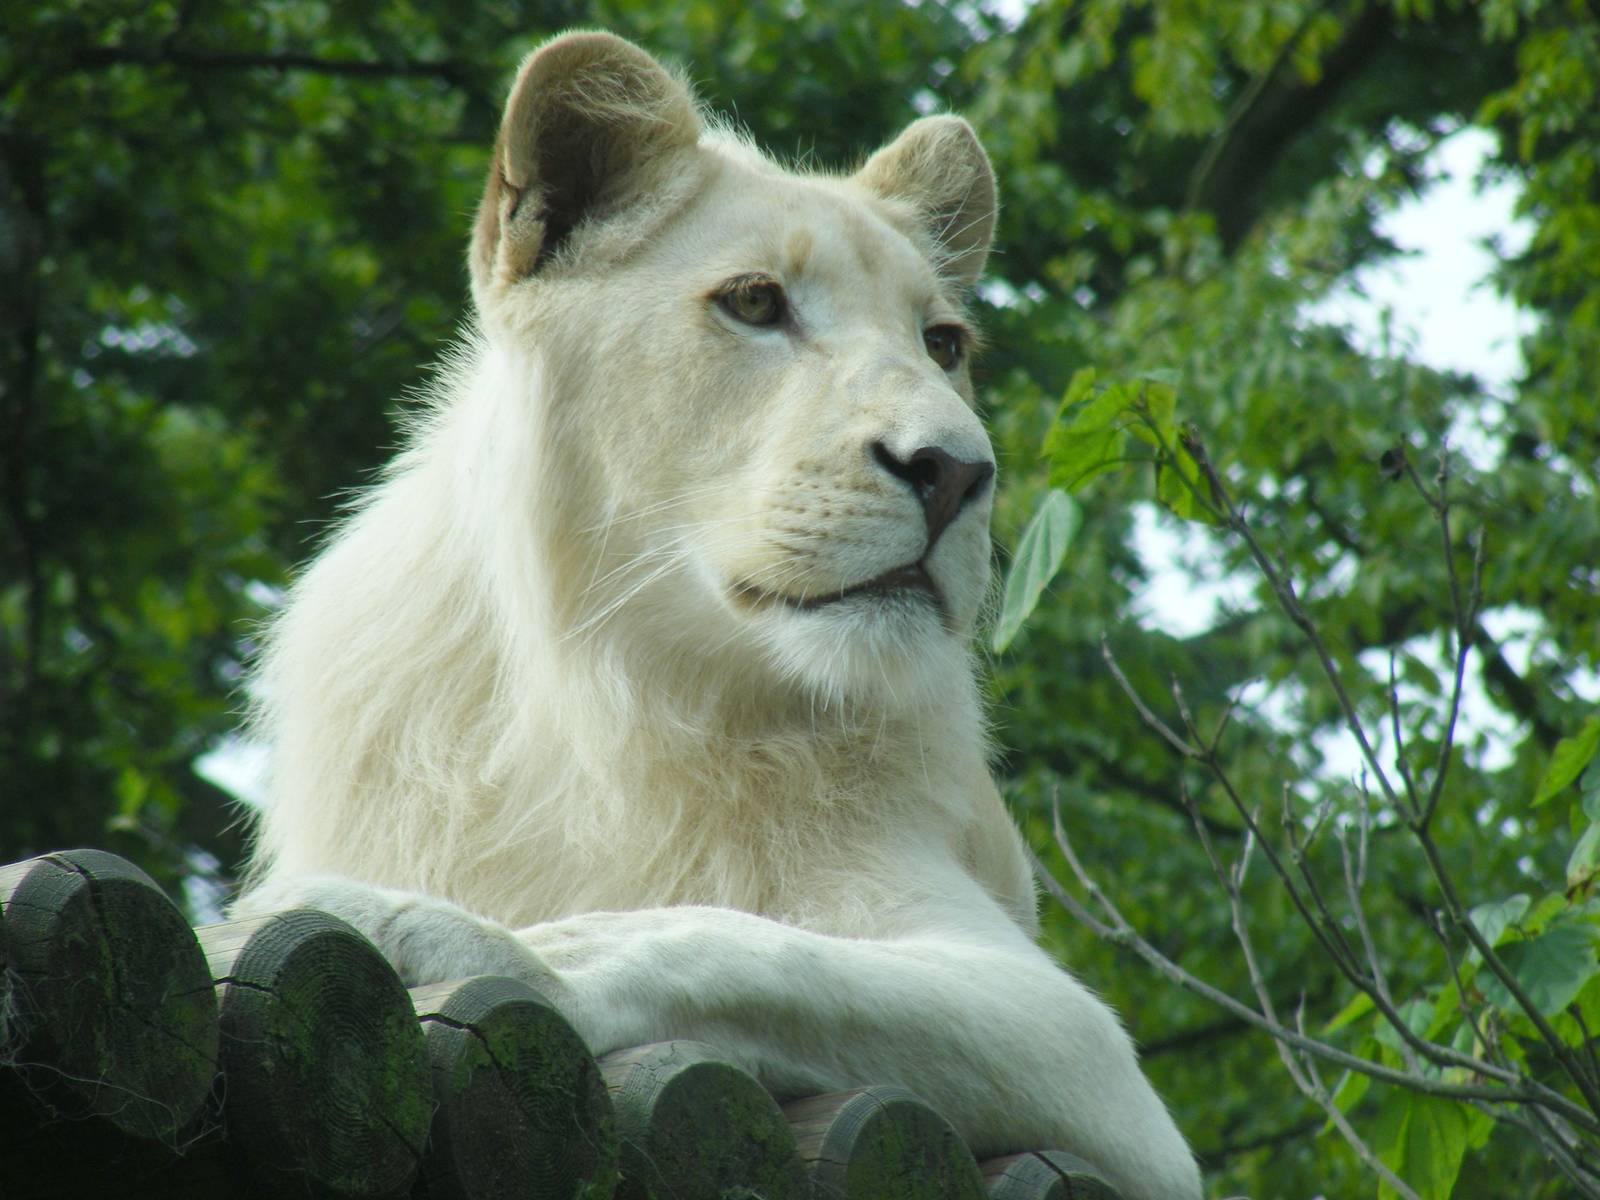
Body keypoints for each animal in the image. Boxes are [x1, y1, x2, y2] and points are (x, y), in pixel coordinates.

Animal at [235, 31, 1201, 1200]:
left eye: (942, 343)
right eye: (754, 302)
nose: (957, 473)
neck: (598, 699)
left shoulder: (1093, 1063)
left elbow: (742, 944)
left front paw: (474, 942)